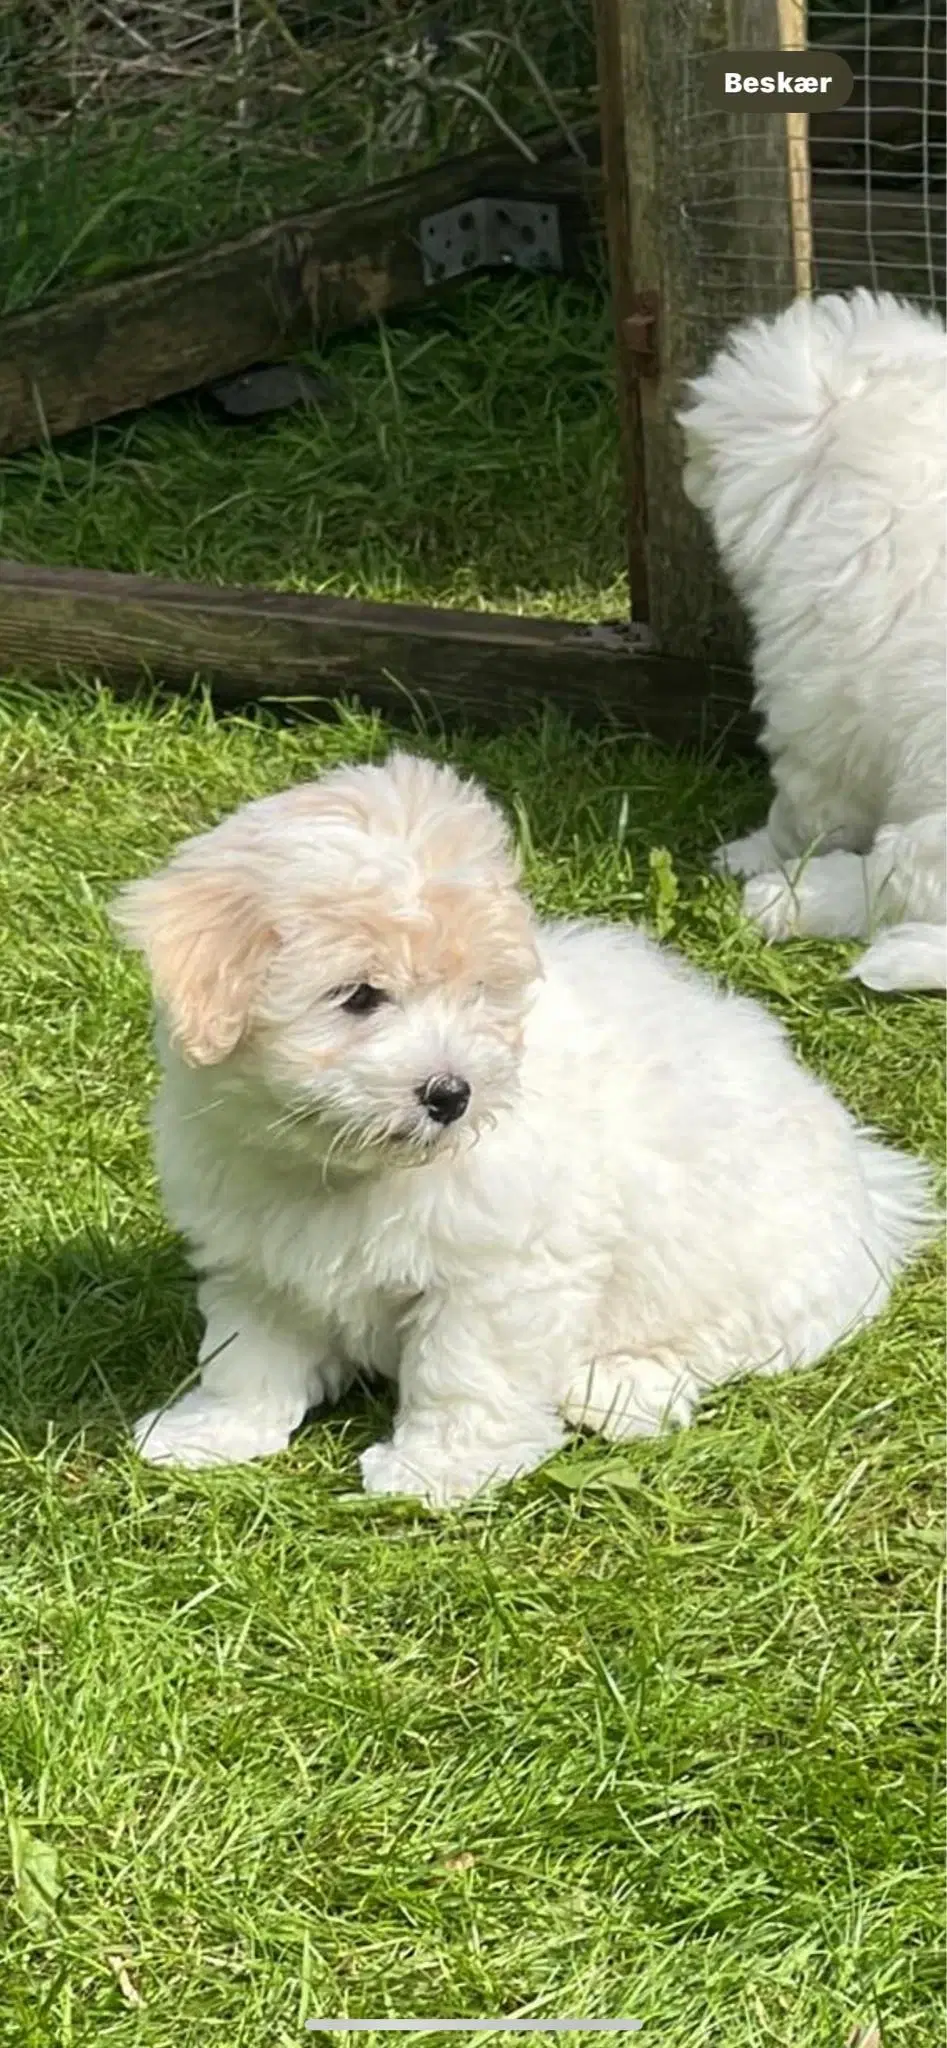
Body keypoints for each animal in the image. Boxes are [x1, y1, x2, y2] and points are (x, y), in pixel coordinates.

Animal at [114, 753, 934, 1507]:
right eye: (359, 997)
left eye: (477, 992)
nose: (451, 1093)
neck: (349, 1168)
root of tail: (871, 1187)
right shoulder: (258, 1255)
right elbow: (246, 1354)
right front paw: (211, 1433)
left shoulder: (500, 1274)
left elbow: (464, 1370)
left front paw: (435, 1472)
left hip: (753, 1272)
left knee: (720, 1344)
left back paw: (617, 1388)